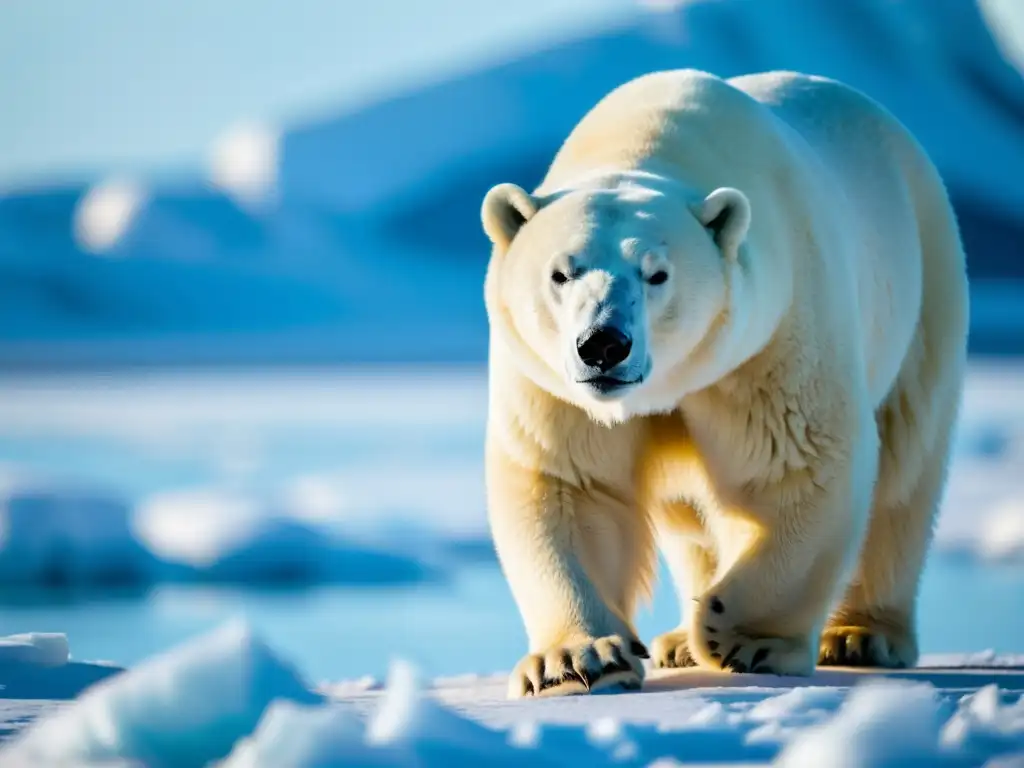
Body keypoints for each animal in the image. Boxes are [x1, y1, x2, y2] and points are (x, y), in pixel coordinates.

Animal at [479, 68, 969, 699]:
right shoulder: (553, 384)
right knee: (689, 515)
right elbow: (570, 482)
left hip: (927, 289)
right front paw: (577, 661)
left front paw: (746, 637)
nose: (604, 344)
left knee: (906, 468)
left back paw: (861, 635)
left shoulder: (772, 334)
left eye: (657, 274)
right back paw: (677, 644)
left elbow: (797, 463)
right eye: (561, 273)